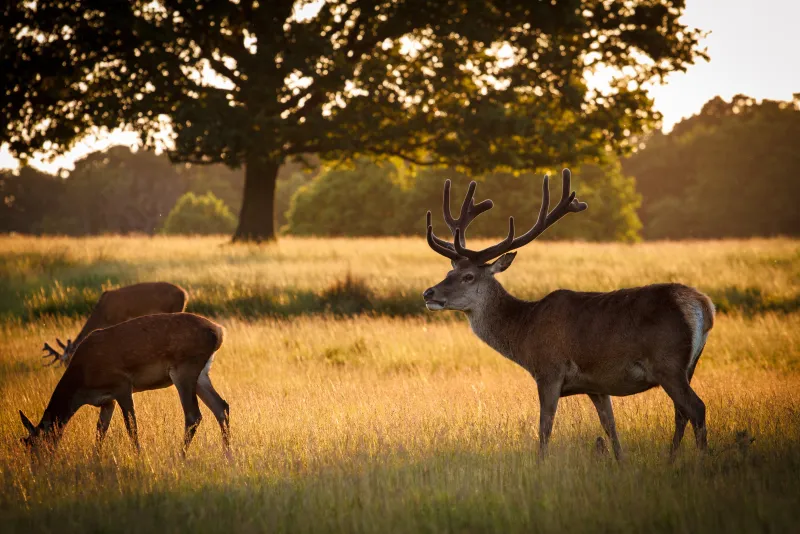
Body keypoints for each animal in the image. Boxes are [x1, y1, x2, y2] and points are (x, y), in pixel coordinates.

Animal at [20, 312, 231, 459]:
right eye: (27, 447)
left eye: (38, 446)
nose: (37, 469)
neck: (83, 382)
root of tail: (219, 331)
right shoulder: (107, 400)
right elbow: (100, 431)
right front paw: (95, 459)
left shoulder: (122, 384)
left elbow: (131, 426)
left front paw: (138, 457)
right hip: (201, 374)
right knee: (221, 406)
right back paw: (228, 456)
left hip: (184, 368)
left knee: (194, 415)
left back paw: (181, 457)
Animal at [422, 170, 714, 462]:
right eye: (449, 272)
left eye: (468, 276)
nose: (428, 292)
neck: (524, 333)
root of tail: (704, 305)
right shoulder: (597, 385)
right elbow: (611, 428)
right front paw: (621, 462)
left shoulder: (549, 370)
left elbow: (544, 429)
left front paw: (541, 464)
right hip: (688, 366)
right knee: (681, 413)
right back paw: (671, 459)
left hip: (668, 362)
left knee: (696, 408)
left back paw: (699, 461)